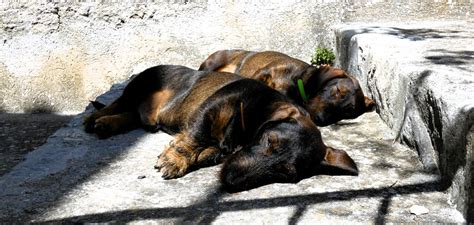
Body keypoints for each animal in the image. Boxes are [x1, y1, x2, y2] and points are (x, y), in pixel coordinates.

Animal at [85, 64, 358, 192]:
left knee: (132, 115)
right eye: (269, 140)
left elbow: (211, 150)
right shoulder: (211, 109)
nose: (230, 180)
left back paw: (107, 125)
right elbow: (195, 137)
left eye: (285, 173)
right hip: (138, 86)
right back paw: (95, 119)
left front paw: (202, 155)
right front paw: (175, 159)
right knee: (118, 103)